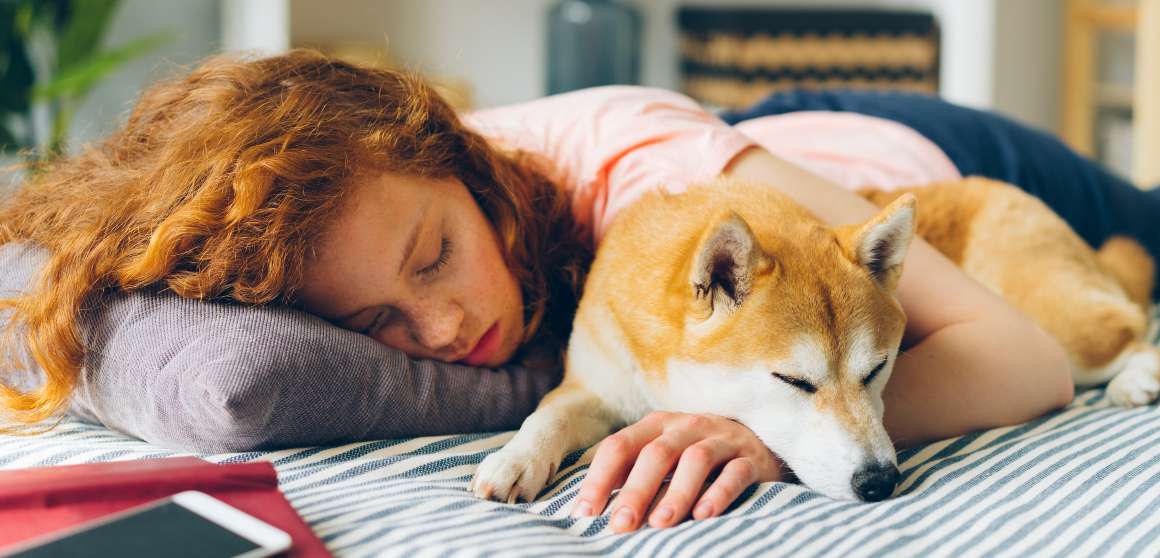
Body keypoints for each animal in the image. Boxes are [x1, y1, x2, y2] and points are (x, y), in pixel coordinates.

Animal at [468, 177, 1150, 505]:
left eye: (877, 369)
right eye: (794, 381)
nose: (879, 483)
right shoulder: (594, 386)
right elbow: (546, 416)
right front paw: (513, 459)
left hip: (1056, 323)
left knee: (1133, 325)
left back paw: (1137, 379)